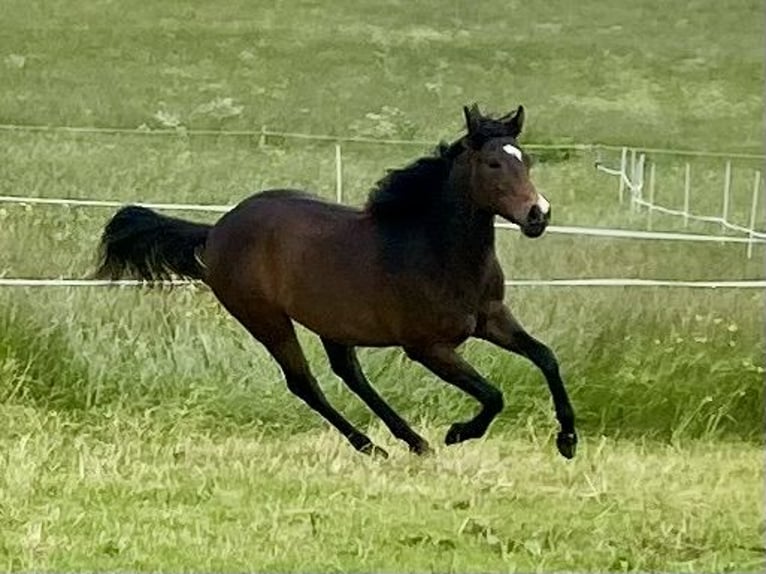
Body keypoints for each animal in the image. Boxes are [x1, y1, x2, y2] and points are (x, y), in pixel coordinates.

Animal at [94, 104, 576, 460]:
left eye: (527, 160)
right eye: (494, 163)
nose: (538, 215)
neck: (437, 252)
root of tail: (216, 231)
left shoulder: (492, 318)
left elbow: (546, 357)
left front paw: (568, 441)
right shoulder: (427, 347)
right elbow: (493, 395)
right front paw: (459, 433)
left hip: (332, 323)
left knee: (350, 374)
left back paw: (411, 442)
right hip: (267, 321)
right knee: (304, 382)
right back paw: (374, 446)